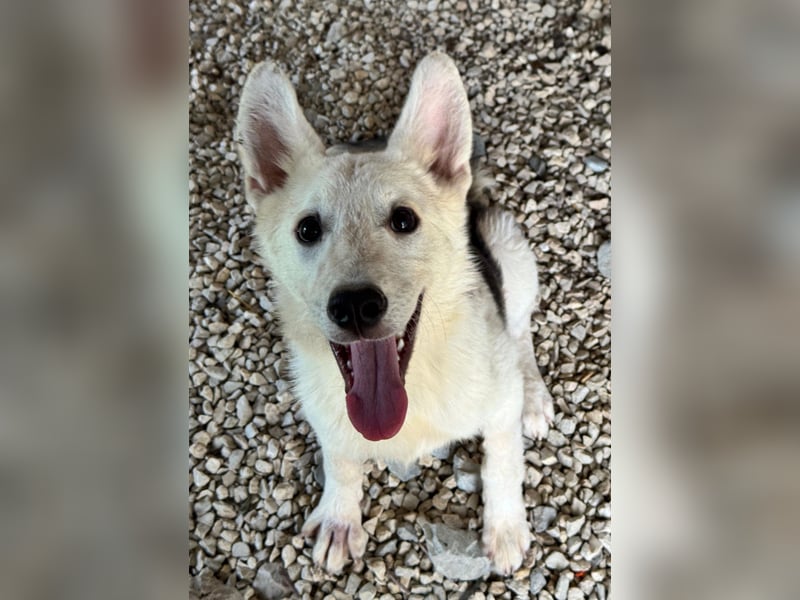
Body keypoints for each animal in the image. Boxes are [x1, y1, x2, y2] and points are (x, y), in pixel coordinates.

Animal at [235, 52, 554, 575]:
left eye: (404, 220)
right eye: (307, 229)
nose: (355, 306)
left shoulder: (497, 406)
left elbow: (502, 462)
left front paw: (505, 527)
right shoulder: (328, 417)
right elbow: (340, 458)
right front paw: (340, 515)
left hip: (510, 249)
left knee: (519, 329)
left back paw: (534, 395)